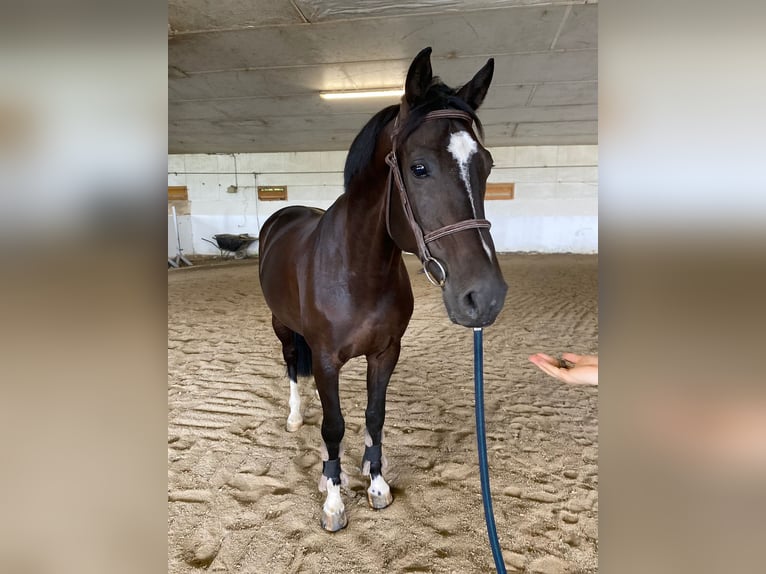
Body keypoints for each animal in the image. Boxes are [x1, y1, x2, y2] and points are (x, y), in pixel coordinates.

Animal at [260, 47, 510, 532]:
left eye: (486, 165)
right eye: (419, 168)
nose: (484, 297)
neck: (359, 271)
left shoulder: (385, 352)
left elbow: (373, 417)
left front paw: (375, 483)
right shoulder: (326, 359)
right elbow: (334, 426)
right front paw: (334, 500)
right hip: (282, 325)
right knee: (292, 367)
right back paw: (297, 419)